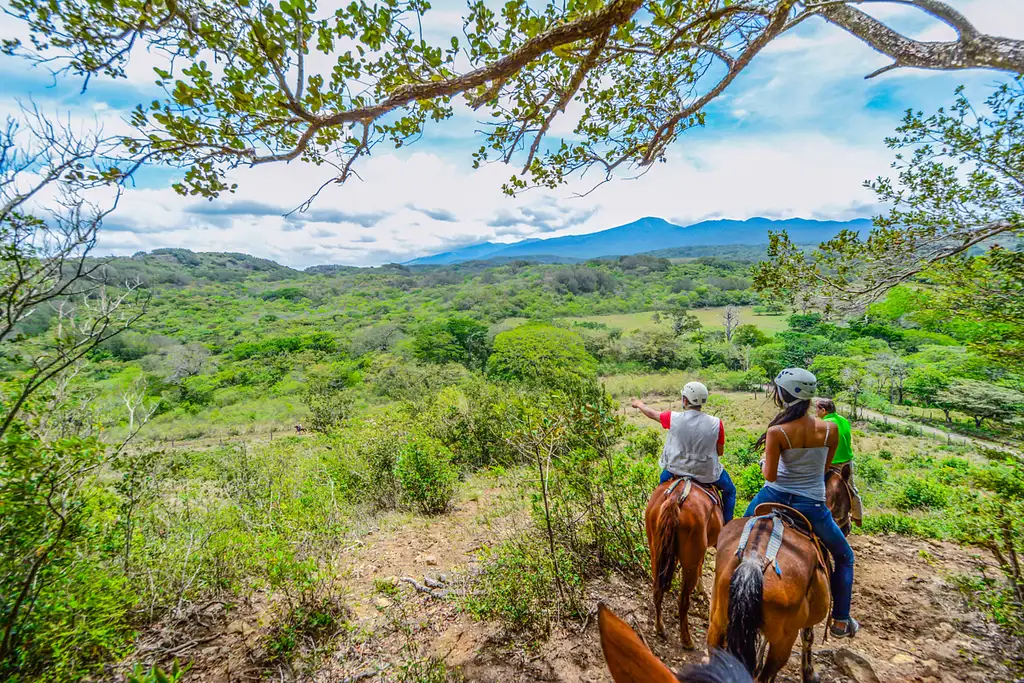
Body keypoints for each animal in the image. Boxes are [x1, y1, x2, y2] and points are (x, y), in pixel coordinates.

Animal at [643, 479, 724, 651]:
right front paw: (701, 591)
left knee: (657, 589)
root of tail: (675, 498)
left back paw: (660, 627)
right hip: (689, 562)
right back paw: (686, 640)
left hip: (655, 551)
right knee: (683, 601)